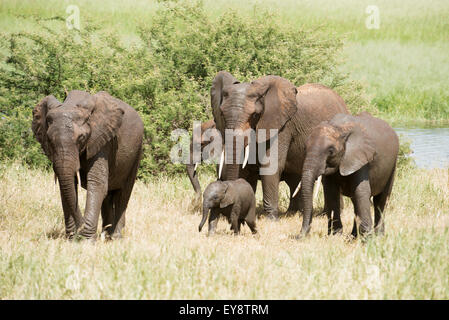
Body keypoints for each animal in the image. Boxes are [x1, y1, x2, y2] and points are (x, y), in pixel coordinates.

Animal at [32, 90, 144, 240]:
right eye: (49, 140)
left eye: (82, 138)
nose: (80, 230)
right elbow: (68, 184)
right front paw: (72, 239)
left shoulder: (102, 140)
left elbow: (96, 184)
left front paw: (86, 240)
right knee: (108, 196)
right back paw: (105, 236)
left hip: (137, 153)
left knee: (123, 194)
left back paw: (115, 237)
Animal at [208, 71, 348, 219]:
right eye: (222, 114)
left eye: (254, 115)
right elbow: (244, 170)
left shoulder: (282, 127)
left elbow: (270, 165)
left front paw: (271, 219)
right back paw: (294, 213)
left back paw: (327, 214)